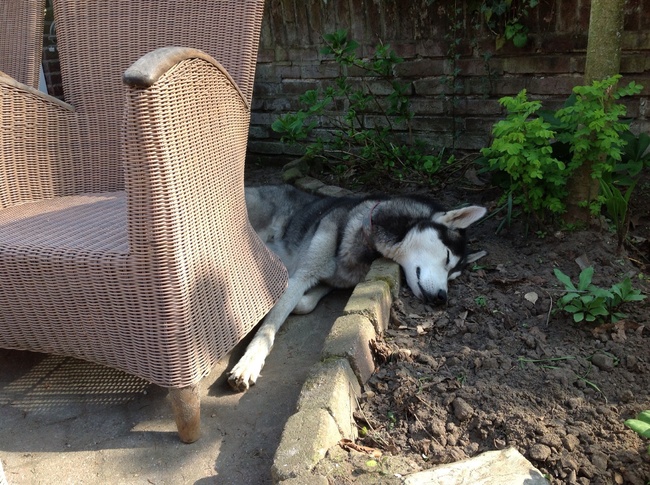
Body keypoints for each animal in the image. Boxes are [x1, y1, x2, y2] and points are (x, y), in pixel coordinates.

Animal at [227, 184, 487, 391]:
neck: (367, 236)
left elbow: (305, 302)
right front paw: (249, 362)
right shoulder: (304, 273)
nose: (442, 298)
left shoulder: (333, 281)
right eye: (447, 257)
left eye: (453, 276)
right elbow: (270, 326)